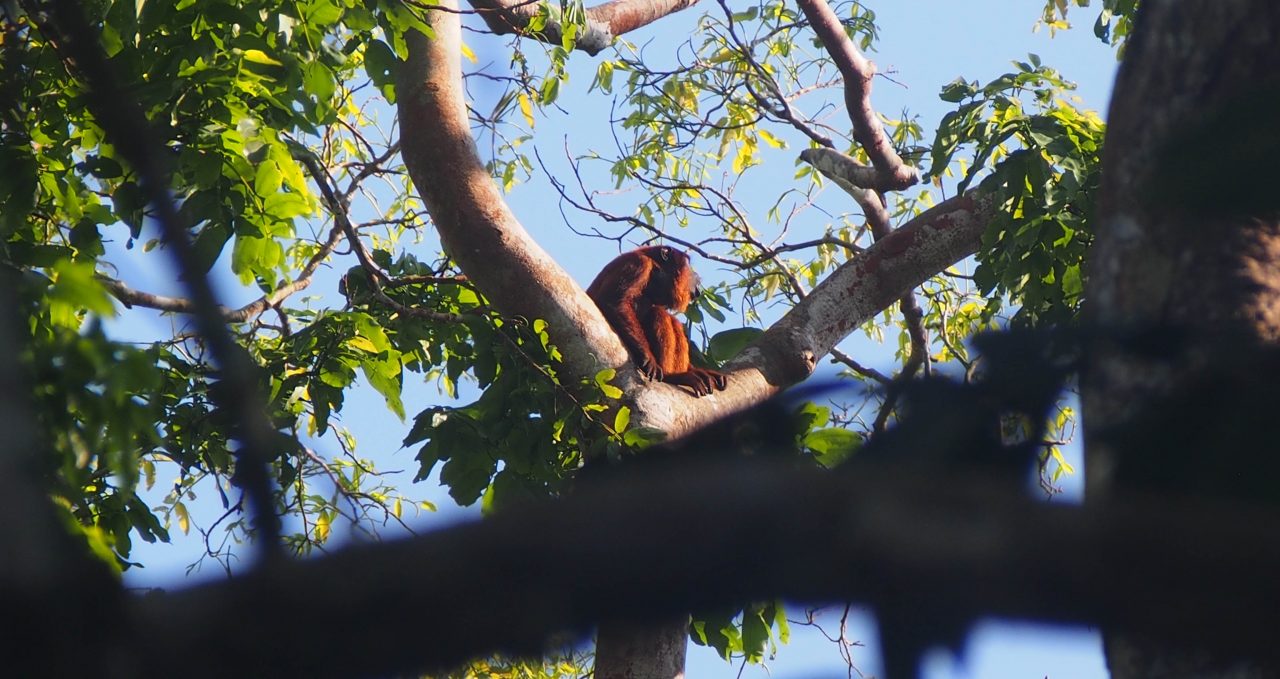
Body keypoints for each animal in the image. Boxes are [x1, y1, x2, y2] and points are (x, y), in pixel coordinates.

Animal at [586, 243, 727, 394]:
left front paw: (702, 372)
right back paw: (673, 376)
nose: (697, 278)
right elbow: (614, 302)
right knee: (657, 313)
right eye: (688, 265)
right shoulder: (638, 264)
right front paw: (648, 358)